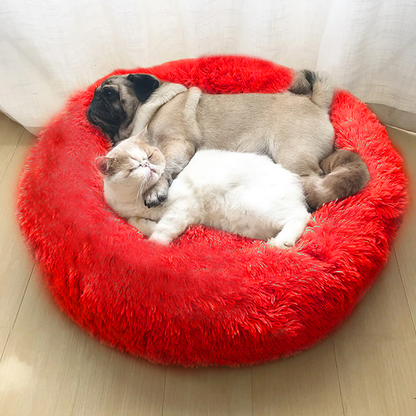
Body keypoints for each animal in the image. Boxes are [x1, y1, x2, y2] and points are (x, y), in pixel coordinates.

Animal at [88, 70, 370, 211]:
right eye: (95, 95)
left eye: (110, 93)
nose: (92, 103)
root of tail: (316, 102)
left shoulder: (177, 144)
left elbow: (162, 166)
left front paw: (155, 190)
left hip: (292, 155)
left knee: (312, 181)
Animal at [96, 132, 310, 247]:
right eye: (133, 168)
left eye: (149, 156)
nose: (147, 165)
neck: (136, 200)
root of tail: (294, 181)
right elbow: (140, 223)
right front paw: (141, 223)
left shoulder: (182, 206)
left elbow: (161, 232)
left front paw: (152, 247)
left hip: (255, 206)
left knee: (301, 215)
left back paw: (281, 242)